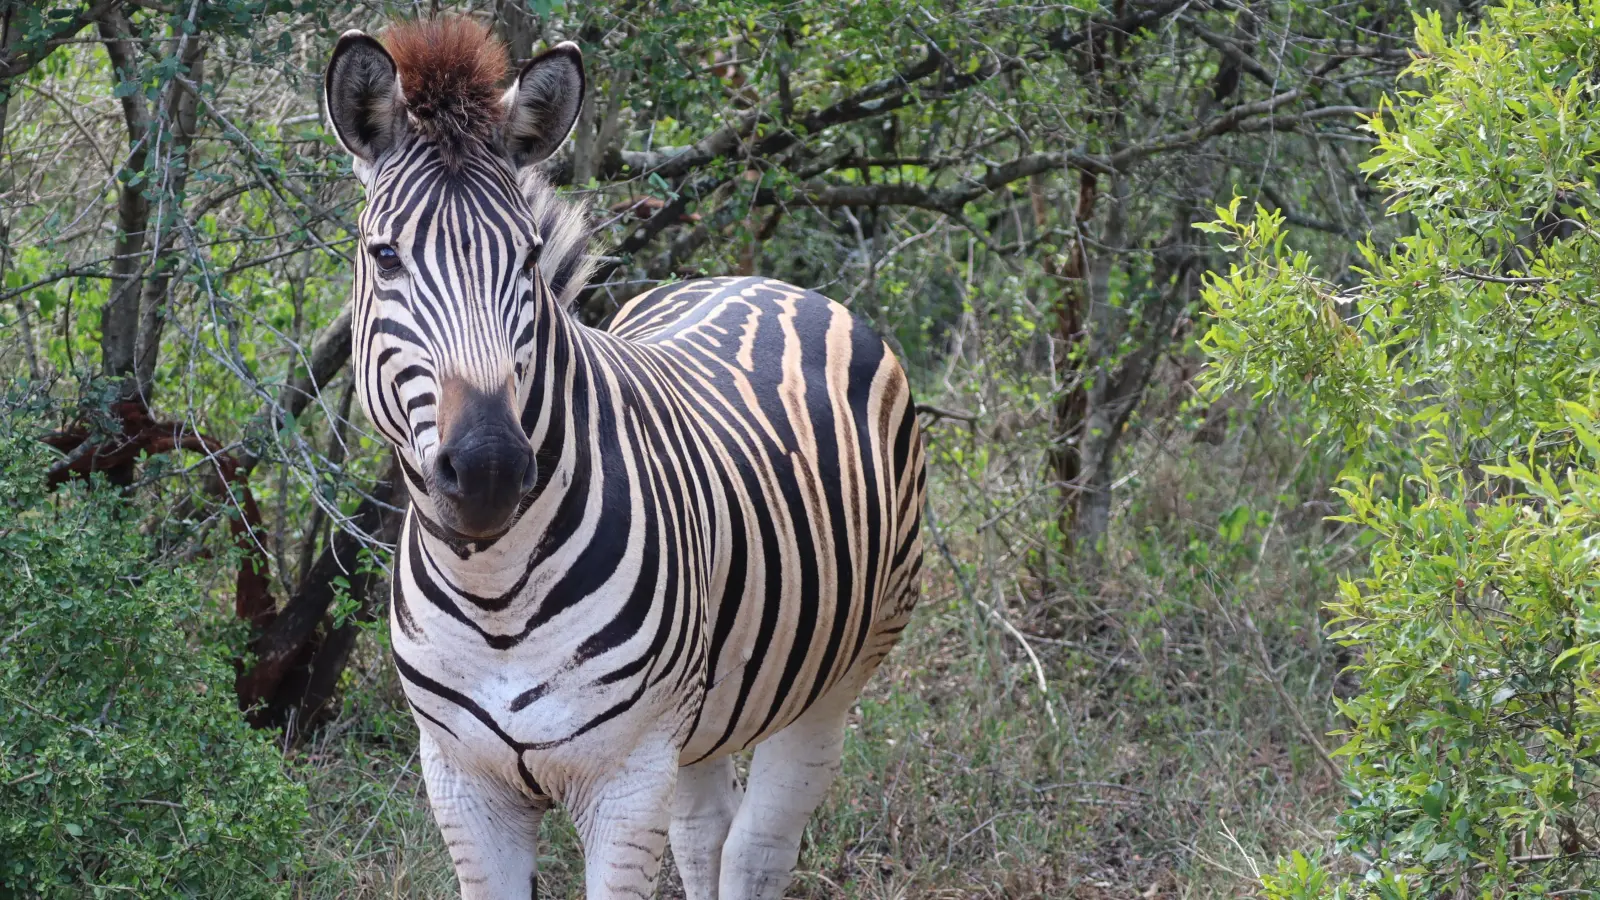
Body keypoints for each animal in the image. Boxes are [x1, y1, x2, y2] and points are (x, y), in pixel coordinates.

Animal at [324, 15, 928, 896]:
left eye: (529, 258)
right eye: (385, 256)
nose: (490, 469)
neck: (493, 593)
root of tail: (769, 284)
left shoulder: (628, 777)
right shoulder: (462, 782)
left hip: (842, 672)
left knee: (757, 847)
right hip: (706, 712)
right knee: (705, 834)